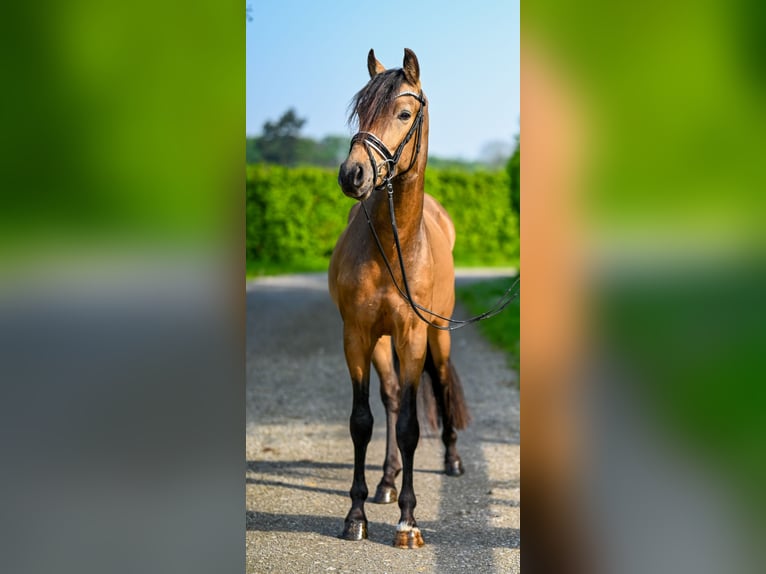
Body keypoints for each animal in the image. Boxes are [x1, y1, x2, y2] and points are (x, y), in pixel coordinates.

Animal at [328, 48, 472, 548]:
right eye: (360, 111)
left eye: (404, 113)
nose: (352, 174)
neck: (395, 246)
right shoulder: (357, 336)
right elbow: (363, 421)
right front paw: (356, 514)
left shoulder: (412, 336)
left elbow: (411, 426)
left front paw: (409, 522)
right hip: (382, 342)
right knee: (390, 398)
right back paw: (387, 482)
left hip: (439, 335)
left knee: (442, 384)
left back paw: (452, 461)